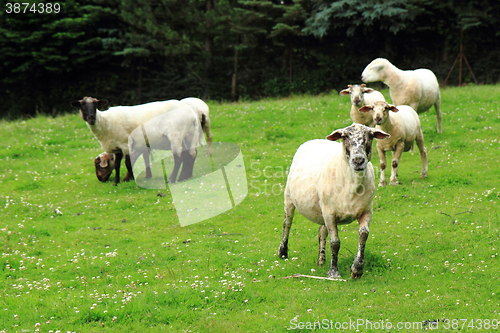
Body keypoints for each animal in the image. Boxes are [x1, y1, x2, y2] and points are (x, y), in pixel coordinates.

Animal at [278, 122, 390, 278]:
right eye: (344, 137)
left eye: (370, 136)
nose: (358, 160)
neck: (352, 184)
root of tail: (315, 140)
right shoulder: (329, 212)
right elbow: (335, 243)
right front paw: (333, 273)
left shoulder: (366, 210)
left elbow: (363, 234)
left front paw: (357, 268)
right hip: (289, 197)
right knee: (287, 223)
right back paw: (282, 252)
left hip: (321, 207)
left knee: (321, 231)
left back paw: (321, 260)